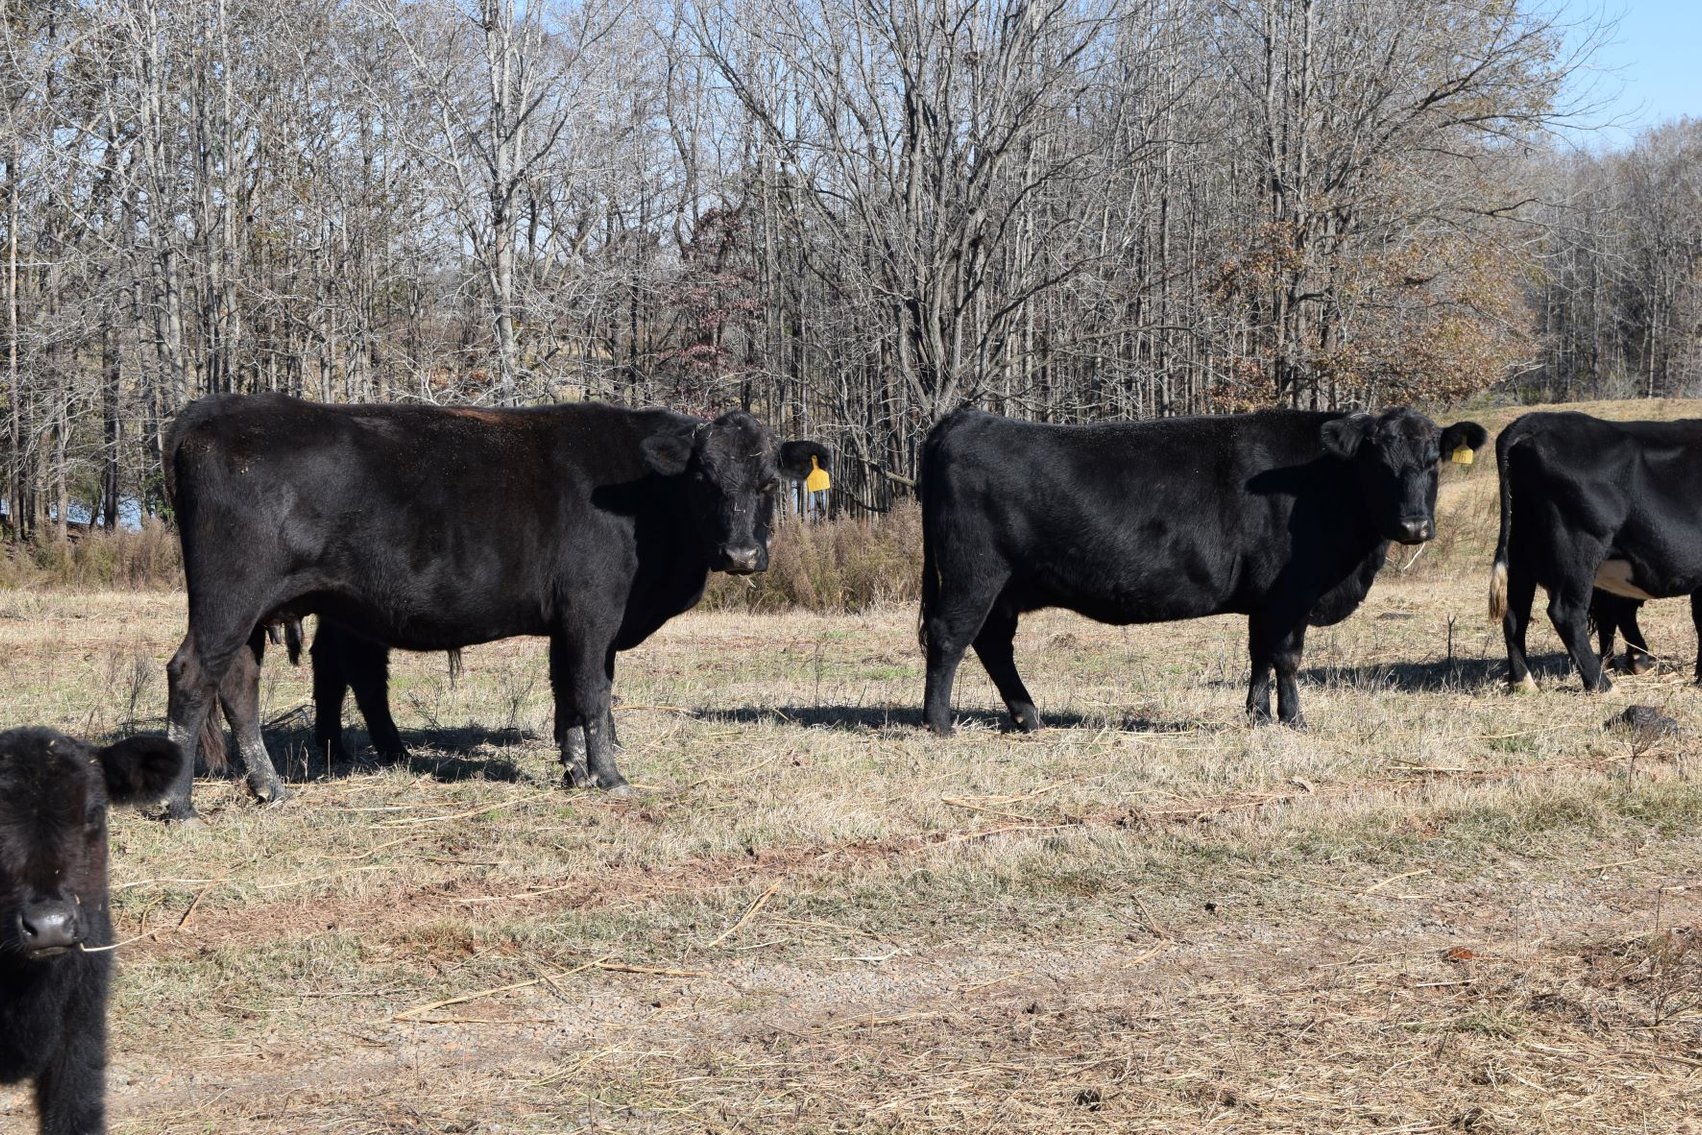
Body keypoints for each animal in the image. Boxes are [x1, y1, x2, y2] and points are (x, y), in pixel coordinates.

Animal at [162, 393, 828, 822]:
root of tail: (214, 411)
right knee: (193, 674)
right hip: (230, 597)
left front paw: (575, 769)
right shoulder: (593, 610)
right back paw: (179, 804)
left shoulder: (572, 622)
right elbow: (593, 691)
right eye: (703, 480)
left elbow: (568, 693)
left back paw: (269, 788)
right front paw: (610, 778)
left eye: (769, 483)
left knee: (241, 685)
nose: (742, 554)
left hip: (256, 612)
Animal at [919, 407, 1488, 732]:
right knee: (950, 636)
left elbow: (1260, 653)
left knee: (993, 643)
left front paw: (1258, 715)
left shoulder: (1268, 598)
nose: (1415, 526)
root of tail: (967, 418)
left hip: (1004, 587)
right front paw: (1294, 719)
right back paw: (940, 723)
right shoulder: (1294, 590)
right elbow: (1287, 656)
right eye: (1378, 464)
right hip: (975, 573)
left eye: (1433, 463)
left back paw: (1028, 716)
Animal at [1489, 411, 1702, 693]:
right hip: (1578, 549)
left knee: (1515, 614)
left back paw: (1523, 682)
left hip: (1520, 552)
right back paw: (1602, 683)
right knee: (1566, 613)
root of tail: (1535, 421)